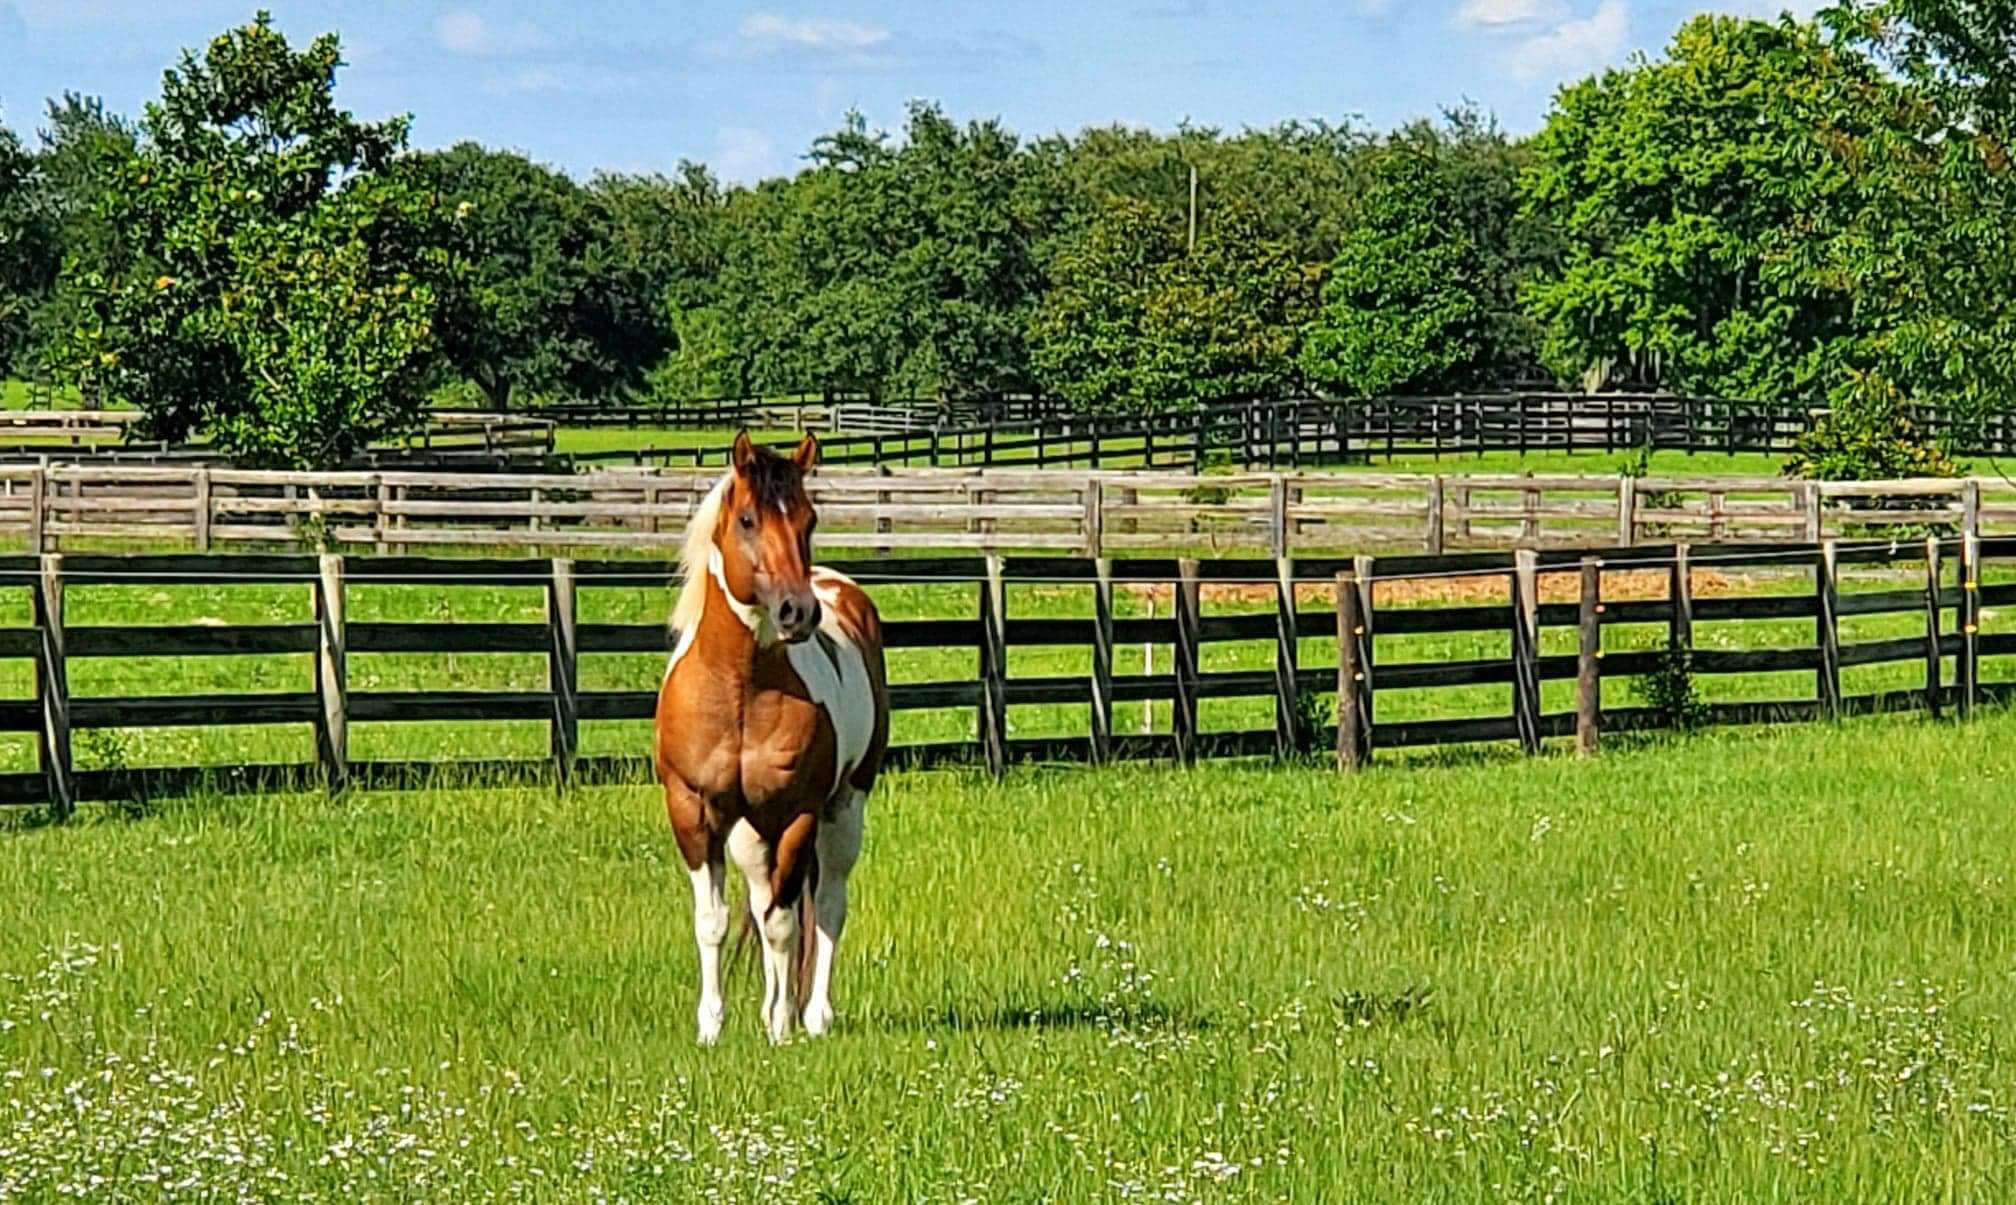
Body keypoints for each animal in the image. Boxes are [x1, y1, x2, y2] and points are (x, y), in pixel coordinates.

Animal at [654, 431, 889, 1044]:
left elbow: (786, 924)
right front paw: (711, 1028)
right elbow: (713, 922)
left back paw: (813, 1016)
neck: (740, 693)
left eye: (809, 519)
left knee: (826, 905)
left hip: (843, 807)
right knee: (761, 903)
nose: (797, 612)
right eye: (747, 519)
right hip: (749, 832)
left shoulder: (797, 814)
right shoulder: (693, 811)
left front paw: (781, 1028)